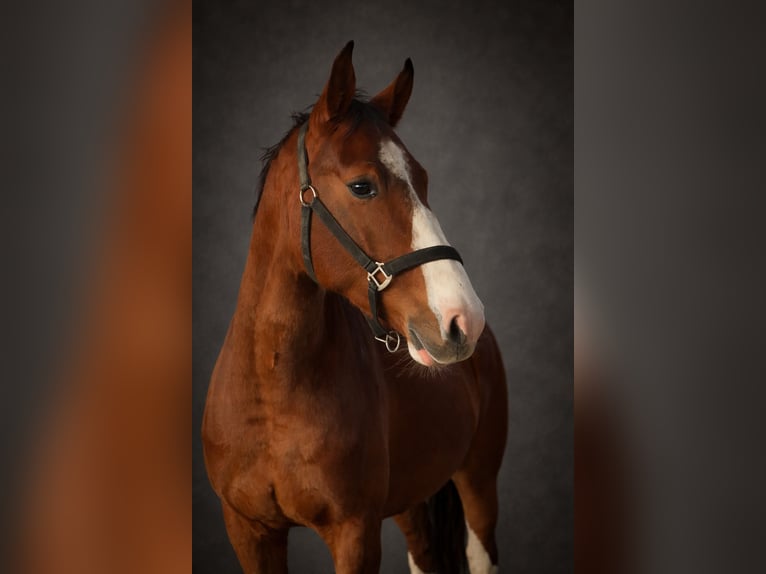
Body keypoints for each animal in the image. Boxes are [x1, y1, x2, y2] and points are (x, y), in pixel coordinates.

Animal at [202, 41, 508, 574]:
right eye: (362, 186)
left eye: (423, 179)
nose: (462, 319)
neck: (272, 390)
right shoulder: (248, 530)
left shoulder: (355, 533)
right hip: (412, 499)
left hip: (478, 484)